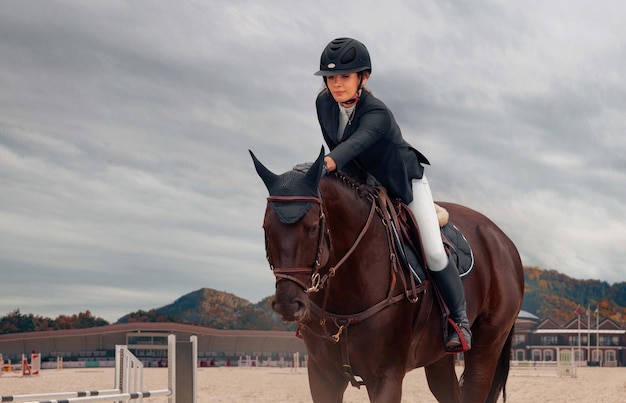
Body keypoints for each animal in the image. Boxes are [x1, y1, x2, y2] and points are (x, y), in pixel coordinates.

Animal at [249, 149, 520, 403]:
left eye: (314, 227)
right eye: (266, 228)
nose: (287, 304)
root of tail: (503, 240)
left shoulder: (385, 377)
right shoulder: (322, 376)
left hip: (486, 347)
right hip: (438, 358)